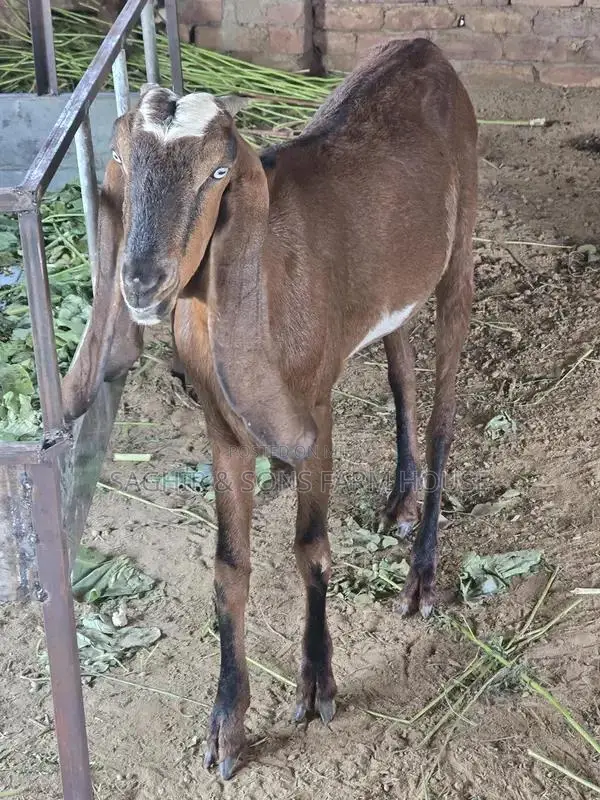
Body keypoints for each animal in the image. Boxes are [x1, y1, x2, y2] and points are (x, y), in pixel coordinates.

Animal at [62, 38, 478, 779]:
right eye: (124, 160)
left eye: (218, 171)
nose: (142, 281)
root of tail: (424, 48)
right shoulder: (222, 430)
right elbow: (229, 568)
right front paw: (226, 727)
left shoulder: (315, 412)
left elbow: (310, 548)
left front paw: (317, 687)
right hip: (393, 290)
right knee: (402, 370)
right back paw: (400, 501)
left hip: (461, 252)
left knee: (442, 413)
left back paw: (423, 574)